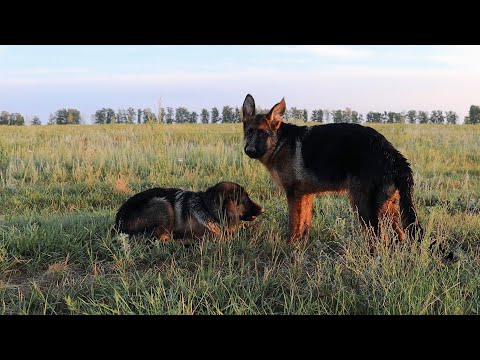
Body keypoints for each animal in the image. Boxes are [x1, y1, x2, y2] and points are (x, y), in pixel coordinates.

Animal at [114, 181, 264, 240]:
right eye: (245, 199)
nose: (263, 210)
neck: (208, 209)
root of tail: (118, 222)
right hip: (164, 204)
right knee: (157, 237)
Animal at [242, 94, 422, 246]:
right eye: (249, 132)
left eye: (263, 133)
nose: (249, 150)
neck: (279, 142)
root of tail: (393, 154)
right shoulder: (305, 195)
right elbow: (304, 223)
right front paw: (302, 244)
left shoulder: (294, 194)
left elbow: (294, 223)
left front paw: (290, 245)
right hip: (387, 208)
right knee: (399, 235)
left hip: (363, 205)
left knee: (380, 238)